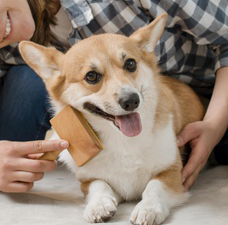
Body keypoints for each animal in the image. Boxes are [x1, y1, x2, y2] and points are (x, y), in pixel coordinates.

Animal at [19, 14, 203, 225]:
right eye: (91, 76)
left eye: (130, 64)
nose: (131, 100)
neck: (123, 140)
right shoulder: (88, 181)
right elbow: (99, 186)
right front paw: (99, 205)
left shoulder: (172, 173)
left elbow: (154, 187)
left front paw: (148, 209)